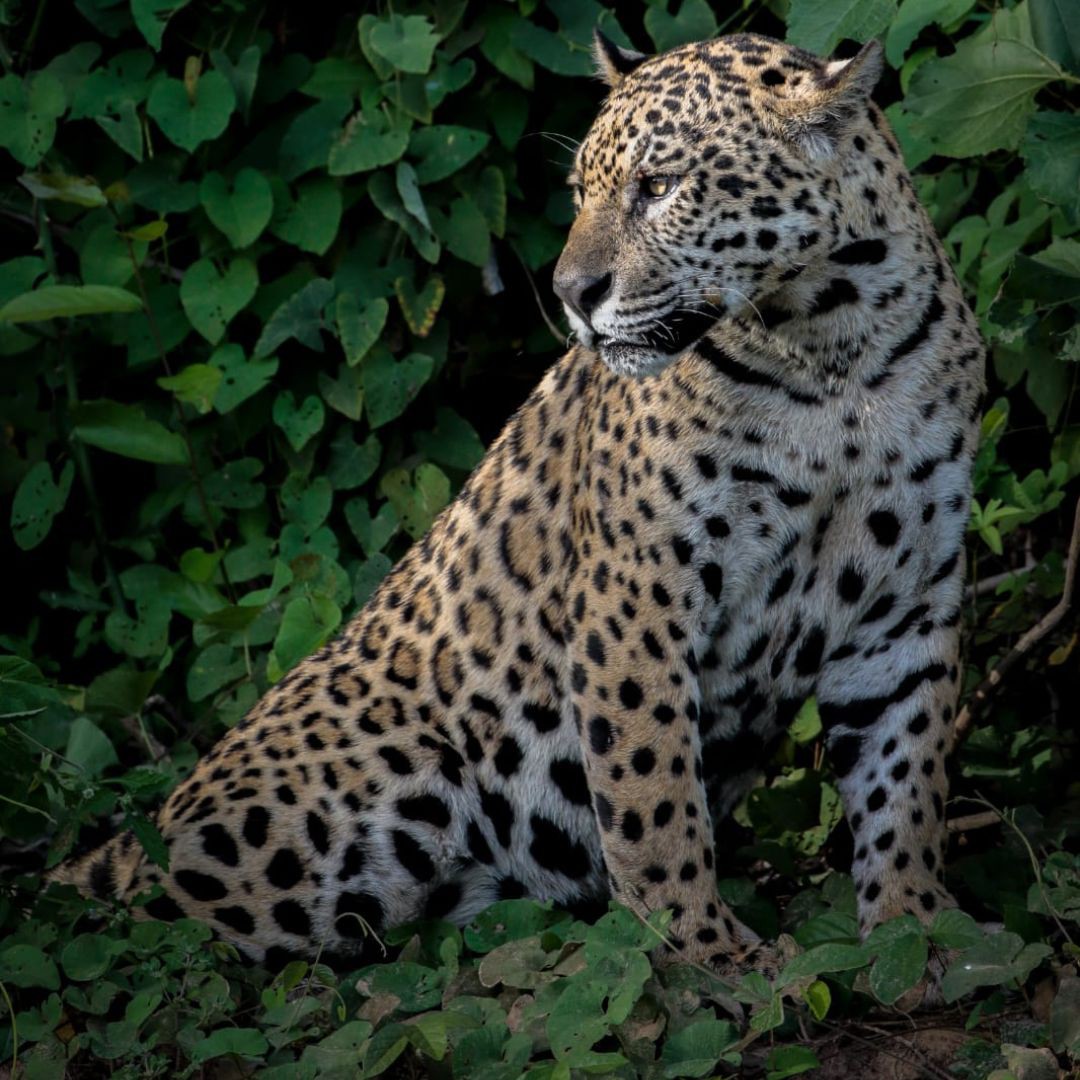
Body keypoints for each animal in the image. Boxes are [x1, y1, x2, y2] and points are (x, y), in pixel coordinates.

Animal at [55, 29, 985, 980]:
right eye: (581, 192)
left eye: (660, 187)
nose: (573, 294)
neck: (830, 354)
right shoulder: (635, 598)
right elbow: (653, 800)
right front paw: (705, 951)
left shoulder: (907, 599)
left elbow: (905, 776)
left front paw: (919, 933)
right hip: (326, 815)